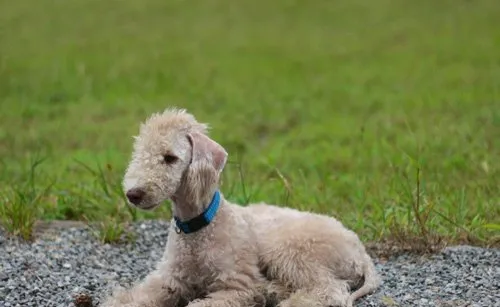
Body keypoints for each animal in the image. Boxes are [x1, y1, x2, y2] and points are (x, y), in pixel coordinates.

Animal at [100, 108, 378, 307]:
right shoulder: (170, 278)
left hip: (290, 248)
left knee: (330, 290)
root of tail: (361, 253)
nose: (133, 194)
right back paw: (274, 290)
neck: (200, 225)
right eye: (139, 153)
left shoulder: (238, 284)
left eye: (170, 157)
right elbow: (137, 297)